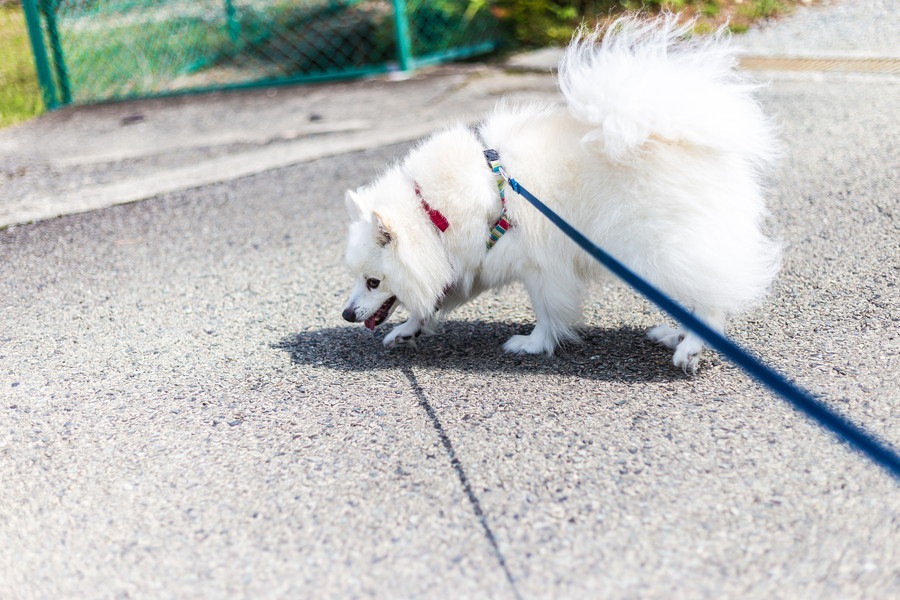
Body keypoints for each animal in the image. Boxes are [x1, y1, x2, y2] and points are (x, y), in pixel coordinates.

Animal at [342, 14, 776, 372]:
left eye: (373, 282)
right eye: (358, 278)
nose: (346, 314)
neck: (432, 212)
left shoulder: (541, 264)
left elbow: (547, 311)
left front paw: (533, 344)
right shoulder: (473, 260)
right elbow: (435, 299)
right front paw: (409, 329)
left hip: (658, 250)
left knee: (710, 300)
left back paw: (691, 347)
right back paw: (675, 334)